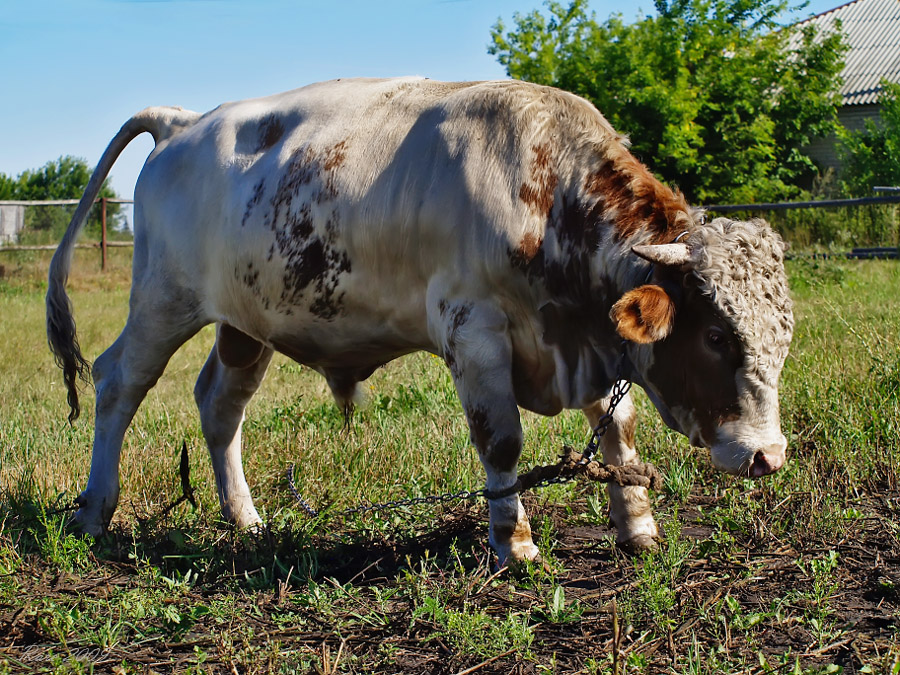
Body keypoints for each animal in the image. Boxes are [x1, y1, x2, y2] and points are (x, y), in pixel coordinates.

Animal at [47, 78, 796, 564]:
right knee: (118, 381)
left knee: (219, 404)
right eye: (716, 334)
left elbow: (619, 434)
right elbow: (502, 443)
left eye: (782, 337)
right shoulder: (474, 329)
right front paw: (513, 542)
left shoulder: (586, 341)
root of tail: (183, 121)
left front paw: (637, 528)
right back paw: (95, 509)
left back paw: (247, 517)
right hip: (163, 298)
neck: (543, 190)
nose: (768, 456)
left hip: (245, 319)